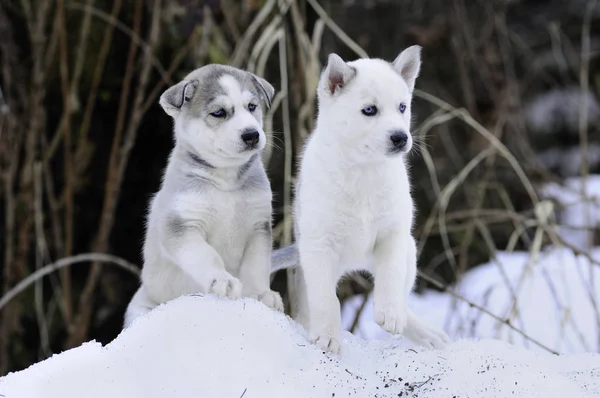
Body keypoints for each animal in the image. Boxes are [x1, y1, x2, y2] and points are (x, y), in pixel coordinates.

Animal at [123, 64, 284, 326]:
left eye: (252, 106)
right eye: (218, 112)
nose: (252, 135)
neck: (226, 182)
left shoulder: (258, 226)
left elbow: (256, 266)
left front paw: (262, 294)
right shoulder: (182, 225)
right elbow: (207, 255)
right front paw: (222, 279)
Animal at [272, 46, 450, 354]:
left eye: (402, 107)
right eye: (370, 110)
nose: (401, 137)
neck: (364, 171)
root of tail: (354, 263)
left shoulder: (393, 234)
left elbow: (390, 276)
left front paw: (390, 314)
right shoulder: (319, 247)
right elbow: (326, 300)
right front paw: (326, 337)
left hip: (410, 250)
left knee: (401, 293)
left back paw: (421, 329)